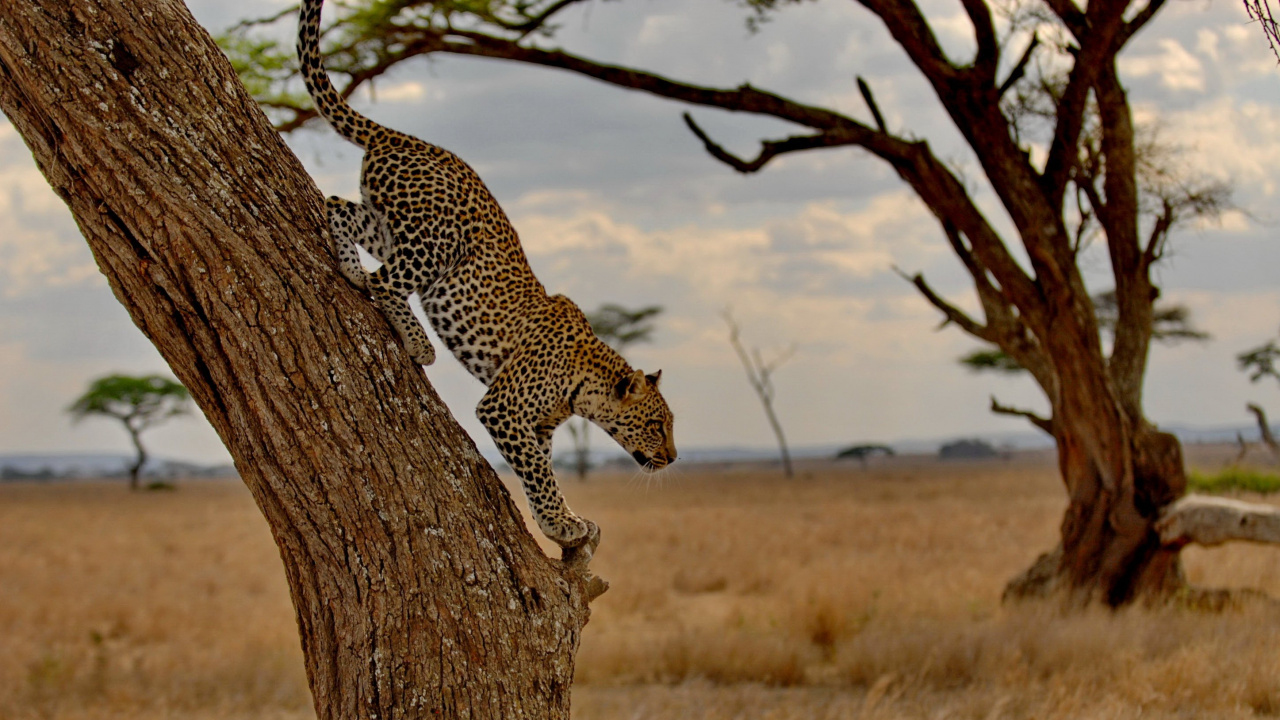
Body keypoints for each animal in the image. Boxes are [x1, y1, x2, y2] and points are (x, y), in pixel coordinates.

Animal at [297, 0, 677, 550]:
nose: (673, 458)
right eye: (655, 424)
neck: (584, 383)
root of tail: (403, 136)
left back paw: (349, 268)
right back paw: (417, 342)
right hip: (438, 238)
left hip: (392, 224)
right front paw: (562, 524)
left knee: (337, 207)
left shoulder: (537, 427)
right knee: (386, 281)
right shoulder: (504, 407)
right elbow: (538, 473)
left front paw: (560, 522)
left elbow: (542, 471)